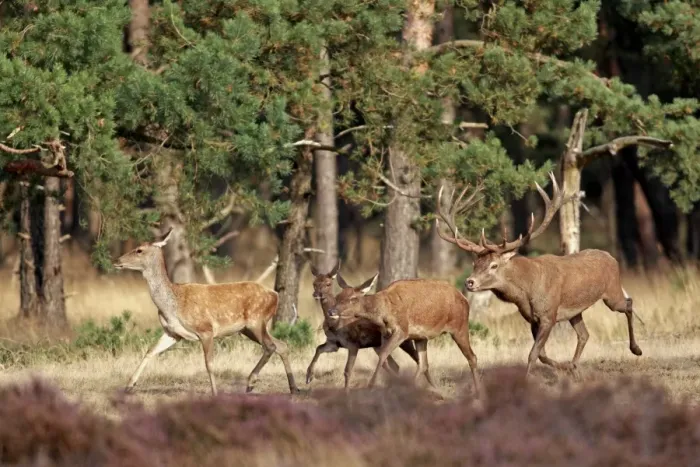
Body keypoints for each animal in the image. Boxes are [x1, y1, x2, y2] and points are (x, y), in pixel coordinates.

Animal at [113, 228, 299, 396]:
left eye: (139, 250)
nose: (116, 260)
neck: (173, 305)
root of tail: (275, 295)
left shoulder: (206, 329)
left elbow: (209, 363)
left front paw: (215, 393)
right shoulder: (173, 333)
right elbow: (150, 351)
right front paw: (129, 386)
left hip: (256, 320)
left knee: (271, 346)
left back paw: (251, 382)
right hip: (249, 328)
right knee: (282, 345)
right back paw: (293, 388)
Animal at [326, 274, 480, 394]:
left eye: (353, 299)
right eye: (338, 296)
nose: (331, 311)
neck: (384, 314)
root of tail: (465, 299)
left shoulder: (402, 330)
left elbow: (383, 355)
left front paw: (370, 385)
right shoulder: (385, 334)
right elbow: (385, 359)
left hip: (459, 326)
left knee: (472, 357)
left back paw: (478, 393)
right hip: (421, 337)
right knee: (423, 364)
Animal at [434, 172, 644, 380]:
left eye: (494, 265)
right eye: (475, 264)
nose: (470, 282)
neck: (526, 291)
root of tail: (612, 258)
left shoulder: (548, 315)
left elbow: (533, 353)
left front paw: (528, 380)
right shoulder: (532, 318)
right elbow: (542, 354)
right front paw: (564, 367)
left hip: (612, 293)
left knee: (628, 303)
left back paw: (636, 349)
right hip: (575, 311)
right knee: (584, 334)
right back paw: (575, 366)